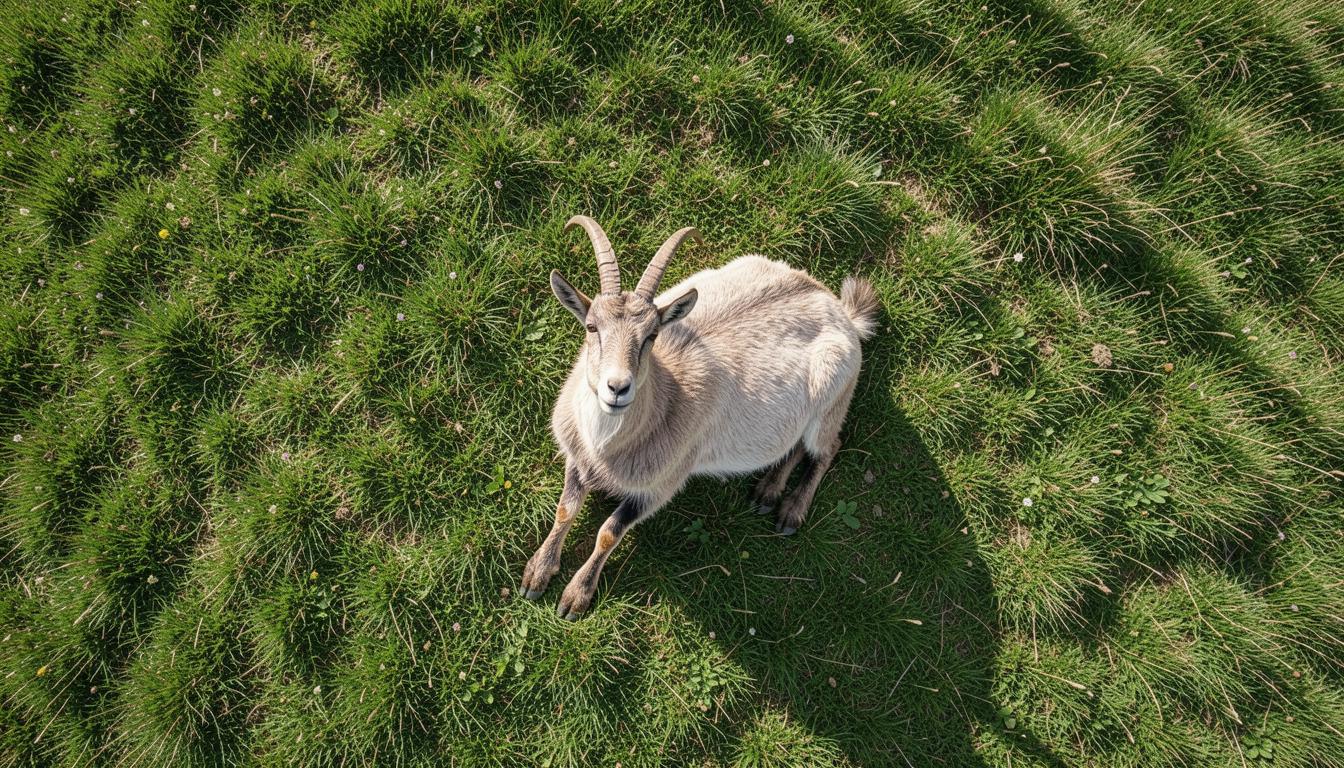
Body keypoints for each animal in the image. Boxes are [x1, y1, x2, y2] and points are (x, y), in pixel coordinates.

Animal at [521, 215, 879, 619]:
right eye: (591, 327)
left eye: (652, 335)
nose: (617, 387)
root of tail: (842, 313)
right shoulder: (577, 455)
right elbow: (566, 509)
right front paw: (537, 573)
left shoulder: (661, 485)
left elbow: (609, 531)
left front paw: (575, 597)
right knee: (795, 445)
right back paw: (767, 492)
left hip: (831, 400)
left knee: (828, 446)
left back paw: (789, 510)